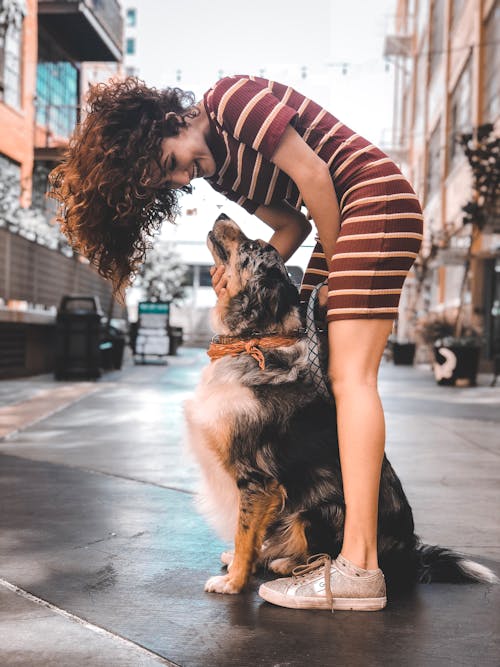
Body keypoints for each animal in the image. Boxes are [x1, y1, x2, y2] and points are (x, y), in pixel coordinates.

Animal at [185, 214, 496, 596]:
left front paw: (234, 581)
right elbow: (251, 534)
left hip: (319, 509)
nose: (222, 216)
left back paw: (291, 565)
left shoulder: (257, 478)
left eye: (252, 245)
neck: (254, 344)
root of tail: (410, 557)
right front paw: (242, 567)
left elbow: (245, 533)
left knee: (322, 551)